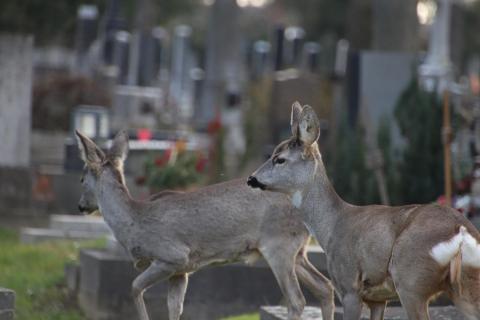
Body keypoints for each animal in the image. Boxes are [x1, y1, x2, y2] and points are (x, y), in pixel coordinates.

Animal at [75, 130, 336, 320]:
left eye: (82, 177)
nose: (80, 206)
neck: (132, 221)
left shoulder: (171, 256)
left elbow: (135, 287)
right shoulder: (181, 271)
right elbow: (174, 307)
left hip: (278, 245)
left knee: (297, 300)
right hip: (298, 252)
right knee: (325, 287)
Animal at [248, 102, 480, 320]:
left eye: (280, 159)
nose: (251, 178)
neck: (331, 227)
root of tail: (460, 230)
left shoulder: (349, 286)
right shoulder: (378, 299)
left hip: (411, 281)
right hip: (464, 286)